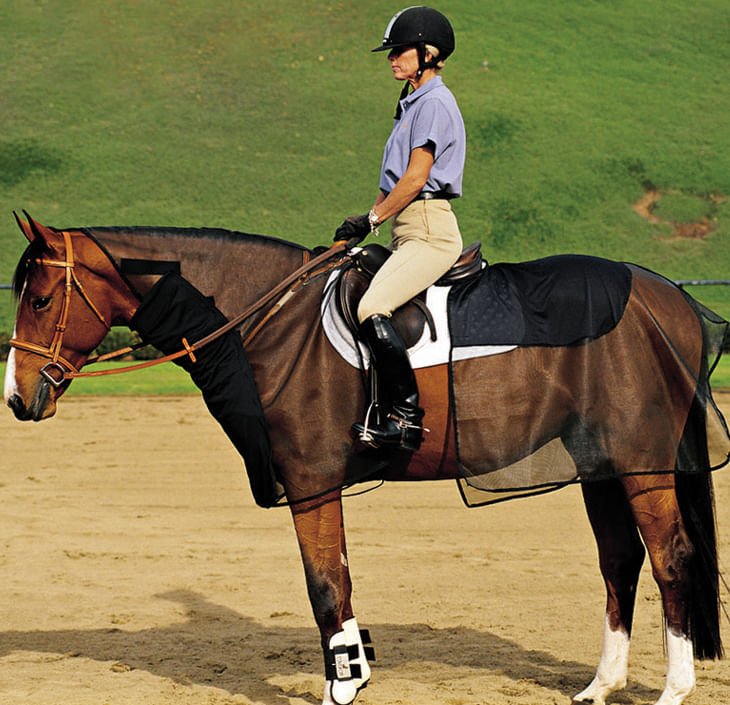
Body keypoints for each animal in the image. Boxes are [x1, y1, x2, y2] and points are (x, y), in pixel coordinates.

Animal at [5, 213, 729, 705]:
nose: (16, 396)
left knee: (670, 558)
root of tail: (670, 296)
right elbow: (336, 579)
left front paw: (344, 684)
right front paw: (350, 671)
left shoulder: (312, 482)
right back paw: (602, 683)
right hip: (601, 465)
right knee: (620, 561)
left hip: (641, 465)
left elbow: (326, 583)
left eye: (39, 299)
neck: (272, 320)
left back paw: (674, 686)